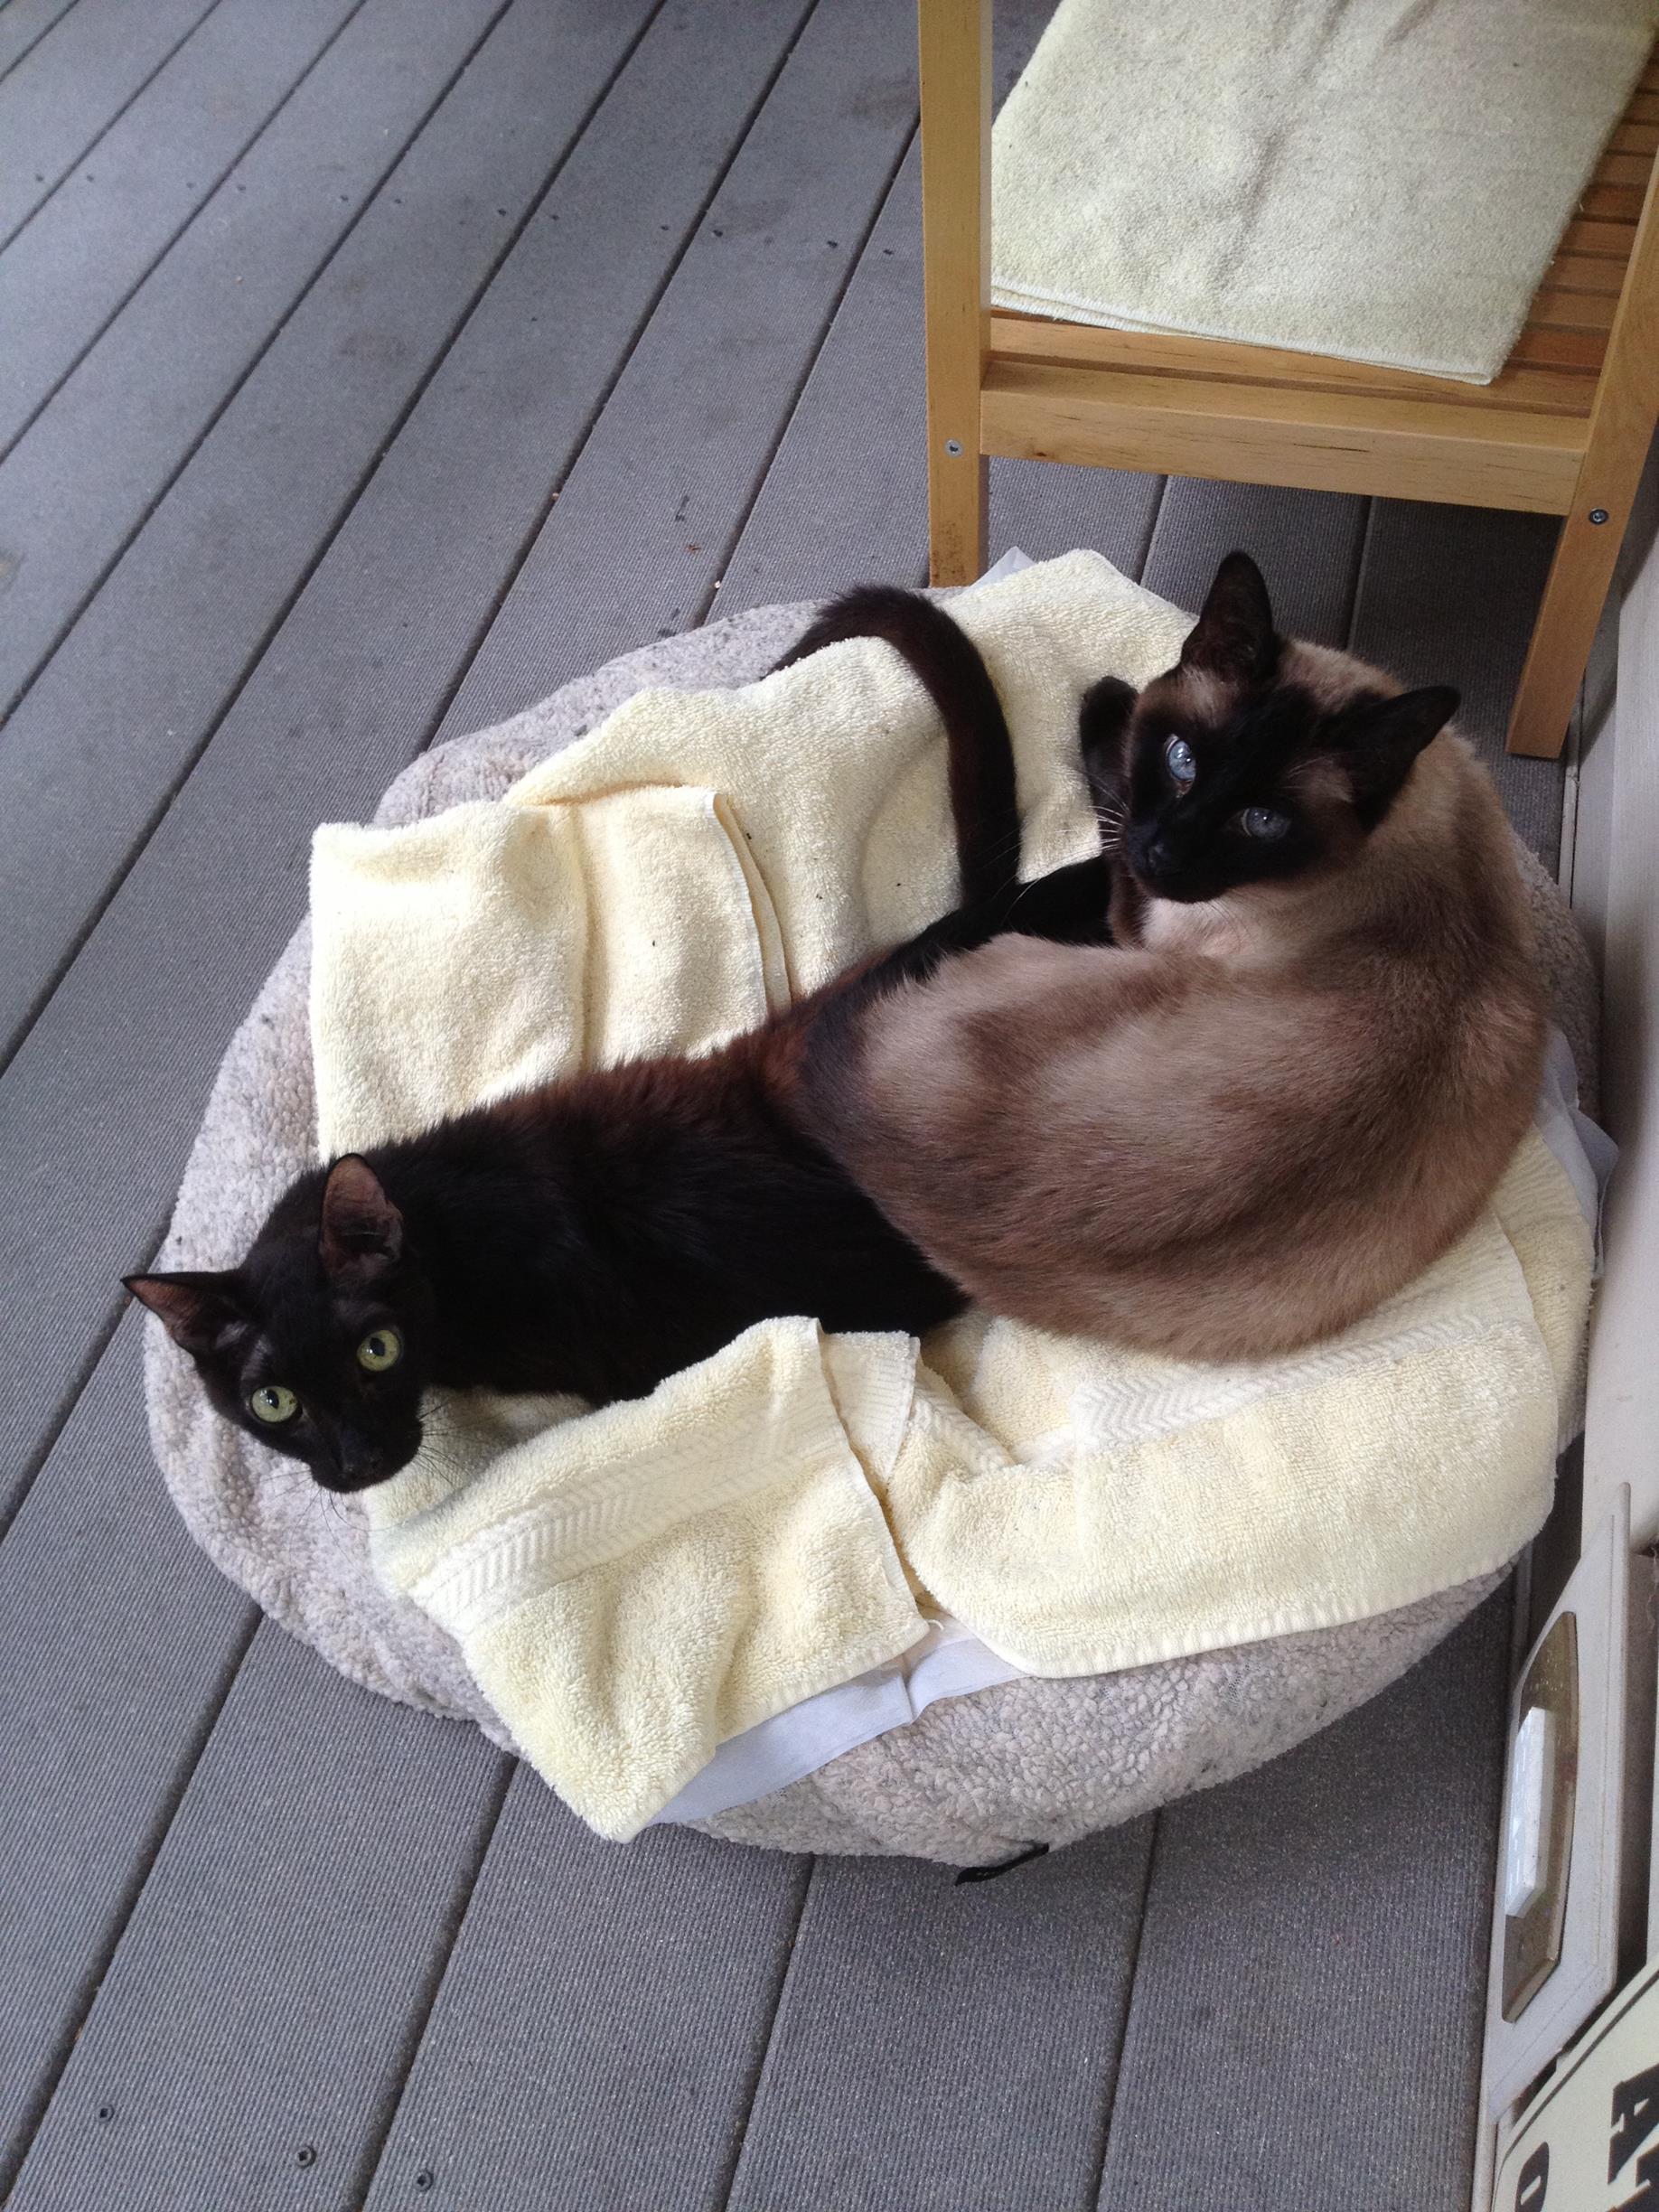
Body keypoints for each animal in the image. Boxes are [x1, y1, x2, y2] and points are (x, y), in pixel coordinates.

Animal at [801, 553, 1557, 1362]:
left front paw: (1106, 699)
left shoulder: (1143, 918)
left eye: (1262, 821)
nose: (1163, 852)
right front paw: (1119, 698)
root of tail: (852, 1104)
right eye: (1182, 759)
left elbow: (1111, 784)